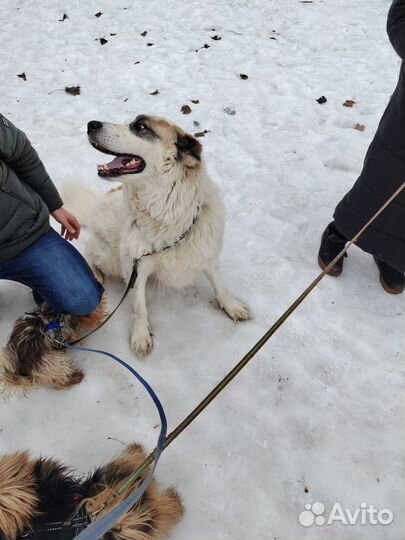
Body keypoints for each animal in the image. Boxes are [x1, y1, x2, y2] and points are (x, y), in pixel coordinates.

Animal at [63, 115, 248, 358]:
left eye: (141, 126)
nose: (91, 124)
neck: (167, 215)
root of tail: (95, 206)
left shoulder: (206, 252)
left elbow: (219, 284)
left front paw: (231, 305)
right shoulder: (136, 267)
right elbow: (139, 306)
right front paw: (141, 335)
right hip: (111, 257)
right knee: (90, 253)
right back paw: (97, 275)